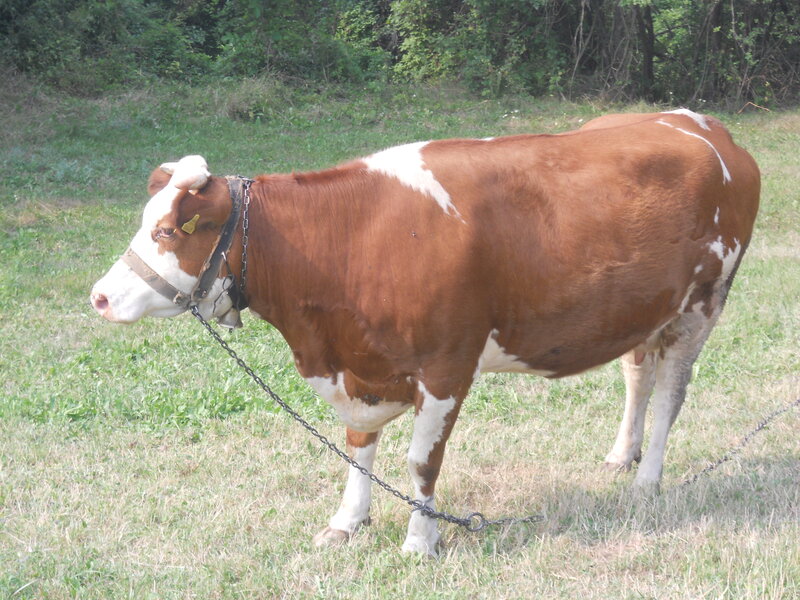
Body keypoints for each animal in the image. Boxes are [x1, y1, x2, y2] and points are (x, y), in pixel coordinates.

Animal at [91, 110, 759, 556]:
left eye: (167, 233)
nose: (98, 296)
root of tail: (702, 125)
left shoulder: (447, 366)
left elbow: (420, 461)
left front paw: (420, 541)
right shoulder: (359, 367)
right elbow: (358, 445)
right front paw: (347, 521)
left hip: (703, 304)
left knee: (670, 392)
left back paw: (648, 481)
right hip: (646, 310)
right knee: (637, 373)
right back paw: (623, 456)